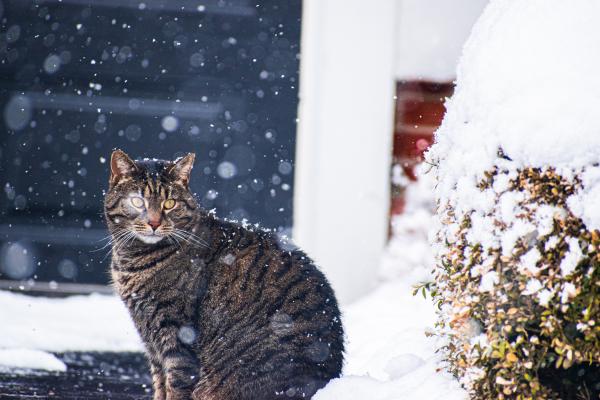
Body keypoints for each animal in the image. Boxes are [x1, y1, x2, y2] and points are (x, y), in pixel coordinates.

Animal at [105, 151, 344, 400]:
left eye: (170, 203)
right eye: (137, 201)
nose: (154, 222)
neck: (133, 260)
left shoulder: (177, 337)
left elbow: (175, 386)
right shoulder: (150, 337)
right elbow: (159, 384)